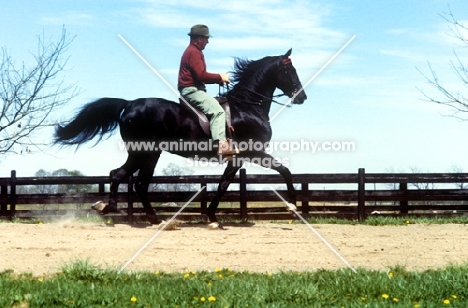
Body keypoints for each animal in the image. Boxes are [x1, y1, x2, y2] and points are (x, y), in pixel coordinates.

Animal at [54, 48, 308, 226]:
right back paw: (121, 210)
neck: (247, 106)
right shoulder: (251, 152)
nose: (302, 97)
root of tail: (129, 104)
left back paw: (143, 216)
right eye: (290, 71)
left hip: (147, 154)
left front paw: (211, 216)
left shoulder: (238, 158)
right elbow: (283, 170)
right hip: (144, 151)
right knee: (126, 178)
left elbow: (224, 184)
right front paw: (293, 206)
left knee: (131, 180)